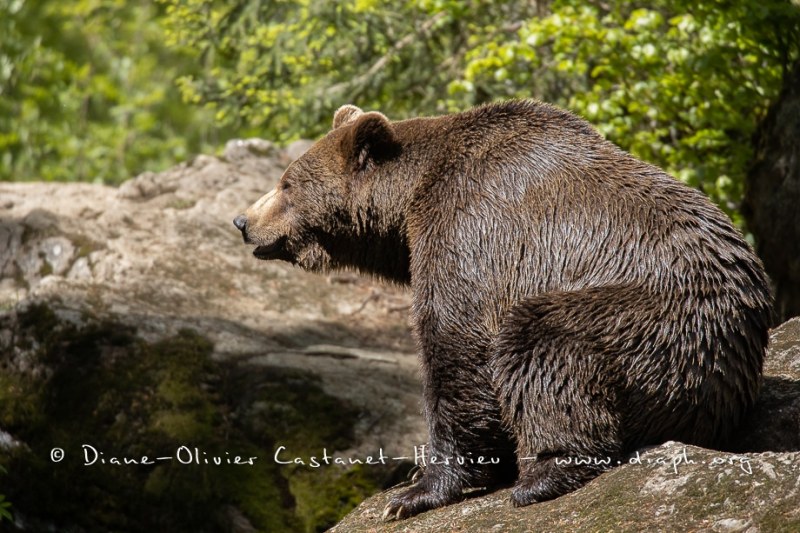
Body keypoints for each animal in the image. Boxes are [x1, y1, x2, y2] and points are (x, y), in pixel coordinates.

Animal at [233, 101, 776, 520]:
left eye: (286, 184)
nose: (243, 221)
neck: (409, 203)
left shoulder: (470, 233)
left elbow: (457, 349)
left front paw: (414, 492)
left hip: (651, 320)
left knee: (544, 344)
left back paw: (542, 475)